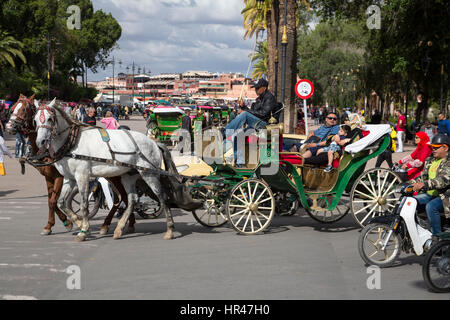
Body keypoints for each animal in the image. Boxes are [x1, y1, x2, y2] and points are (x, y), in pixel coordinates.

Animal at [6, 95, 135, 235]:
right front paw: (51, 225)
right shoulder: (48, 176)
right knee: (123, 198)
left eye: (24, 109)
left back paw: (118, 224)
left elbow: (53, 200)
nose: (8, 126)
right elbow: (51, 200)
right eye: (13, 108)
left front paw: (67, 222)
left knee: (122, 198)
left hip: (115, 175)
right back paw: (121, 224)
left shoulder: (59, 177)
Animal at [34, 99, 175, 241]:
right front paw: (78, 223)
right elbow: (61, 203)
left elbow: (84, 204)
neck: (72, 143)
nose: (41, 142)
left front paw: (83, 230)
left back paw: (169, 230)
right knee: (132, 200)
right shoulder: (70, 178)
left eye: (50, 119)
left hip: (149, 174)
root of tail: (154, 143)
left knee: (162, 197)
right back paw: (119, 228)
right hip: (129, 175)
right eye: (35, 120)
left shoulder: (82, 175)